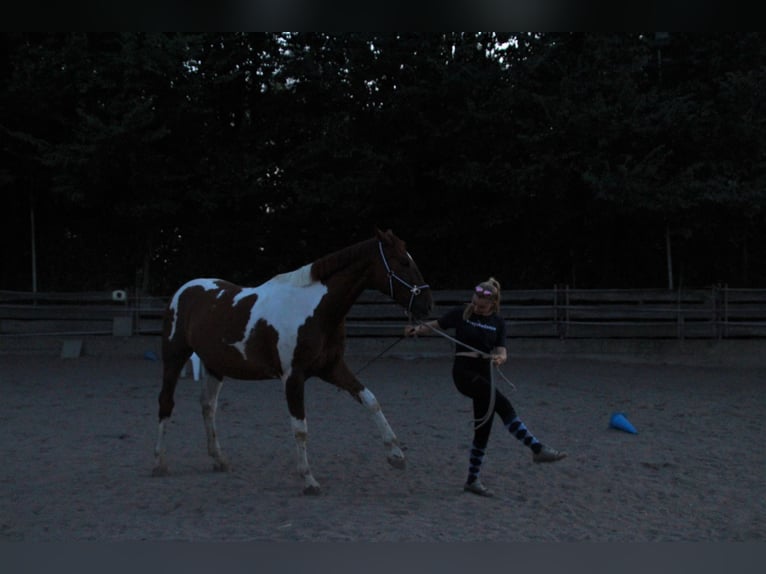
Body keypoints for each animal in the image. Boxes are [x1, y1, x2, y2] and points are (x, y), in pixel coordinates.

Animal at [152, 228, 433, 494]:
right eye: (403, 262)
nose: (427, 306)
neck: (314, 310)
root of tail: (183, 290)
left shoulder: (332, 368)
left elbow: (371, 400)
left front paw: (396, 456)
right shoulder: (293, 377)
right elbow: (300, 428)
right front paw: (309, 481)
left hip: (215, 366)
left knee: (208, 406)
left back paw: (219, 459)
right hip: (174, 356)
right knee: (166, 402)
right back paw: (160, 463)